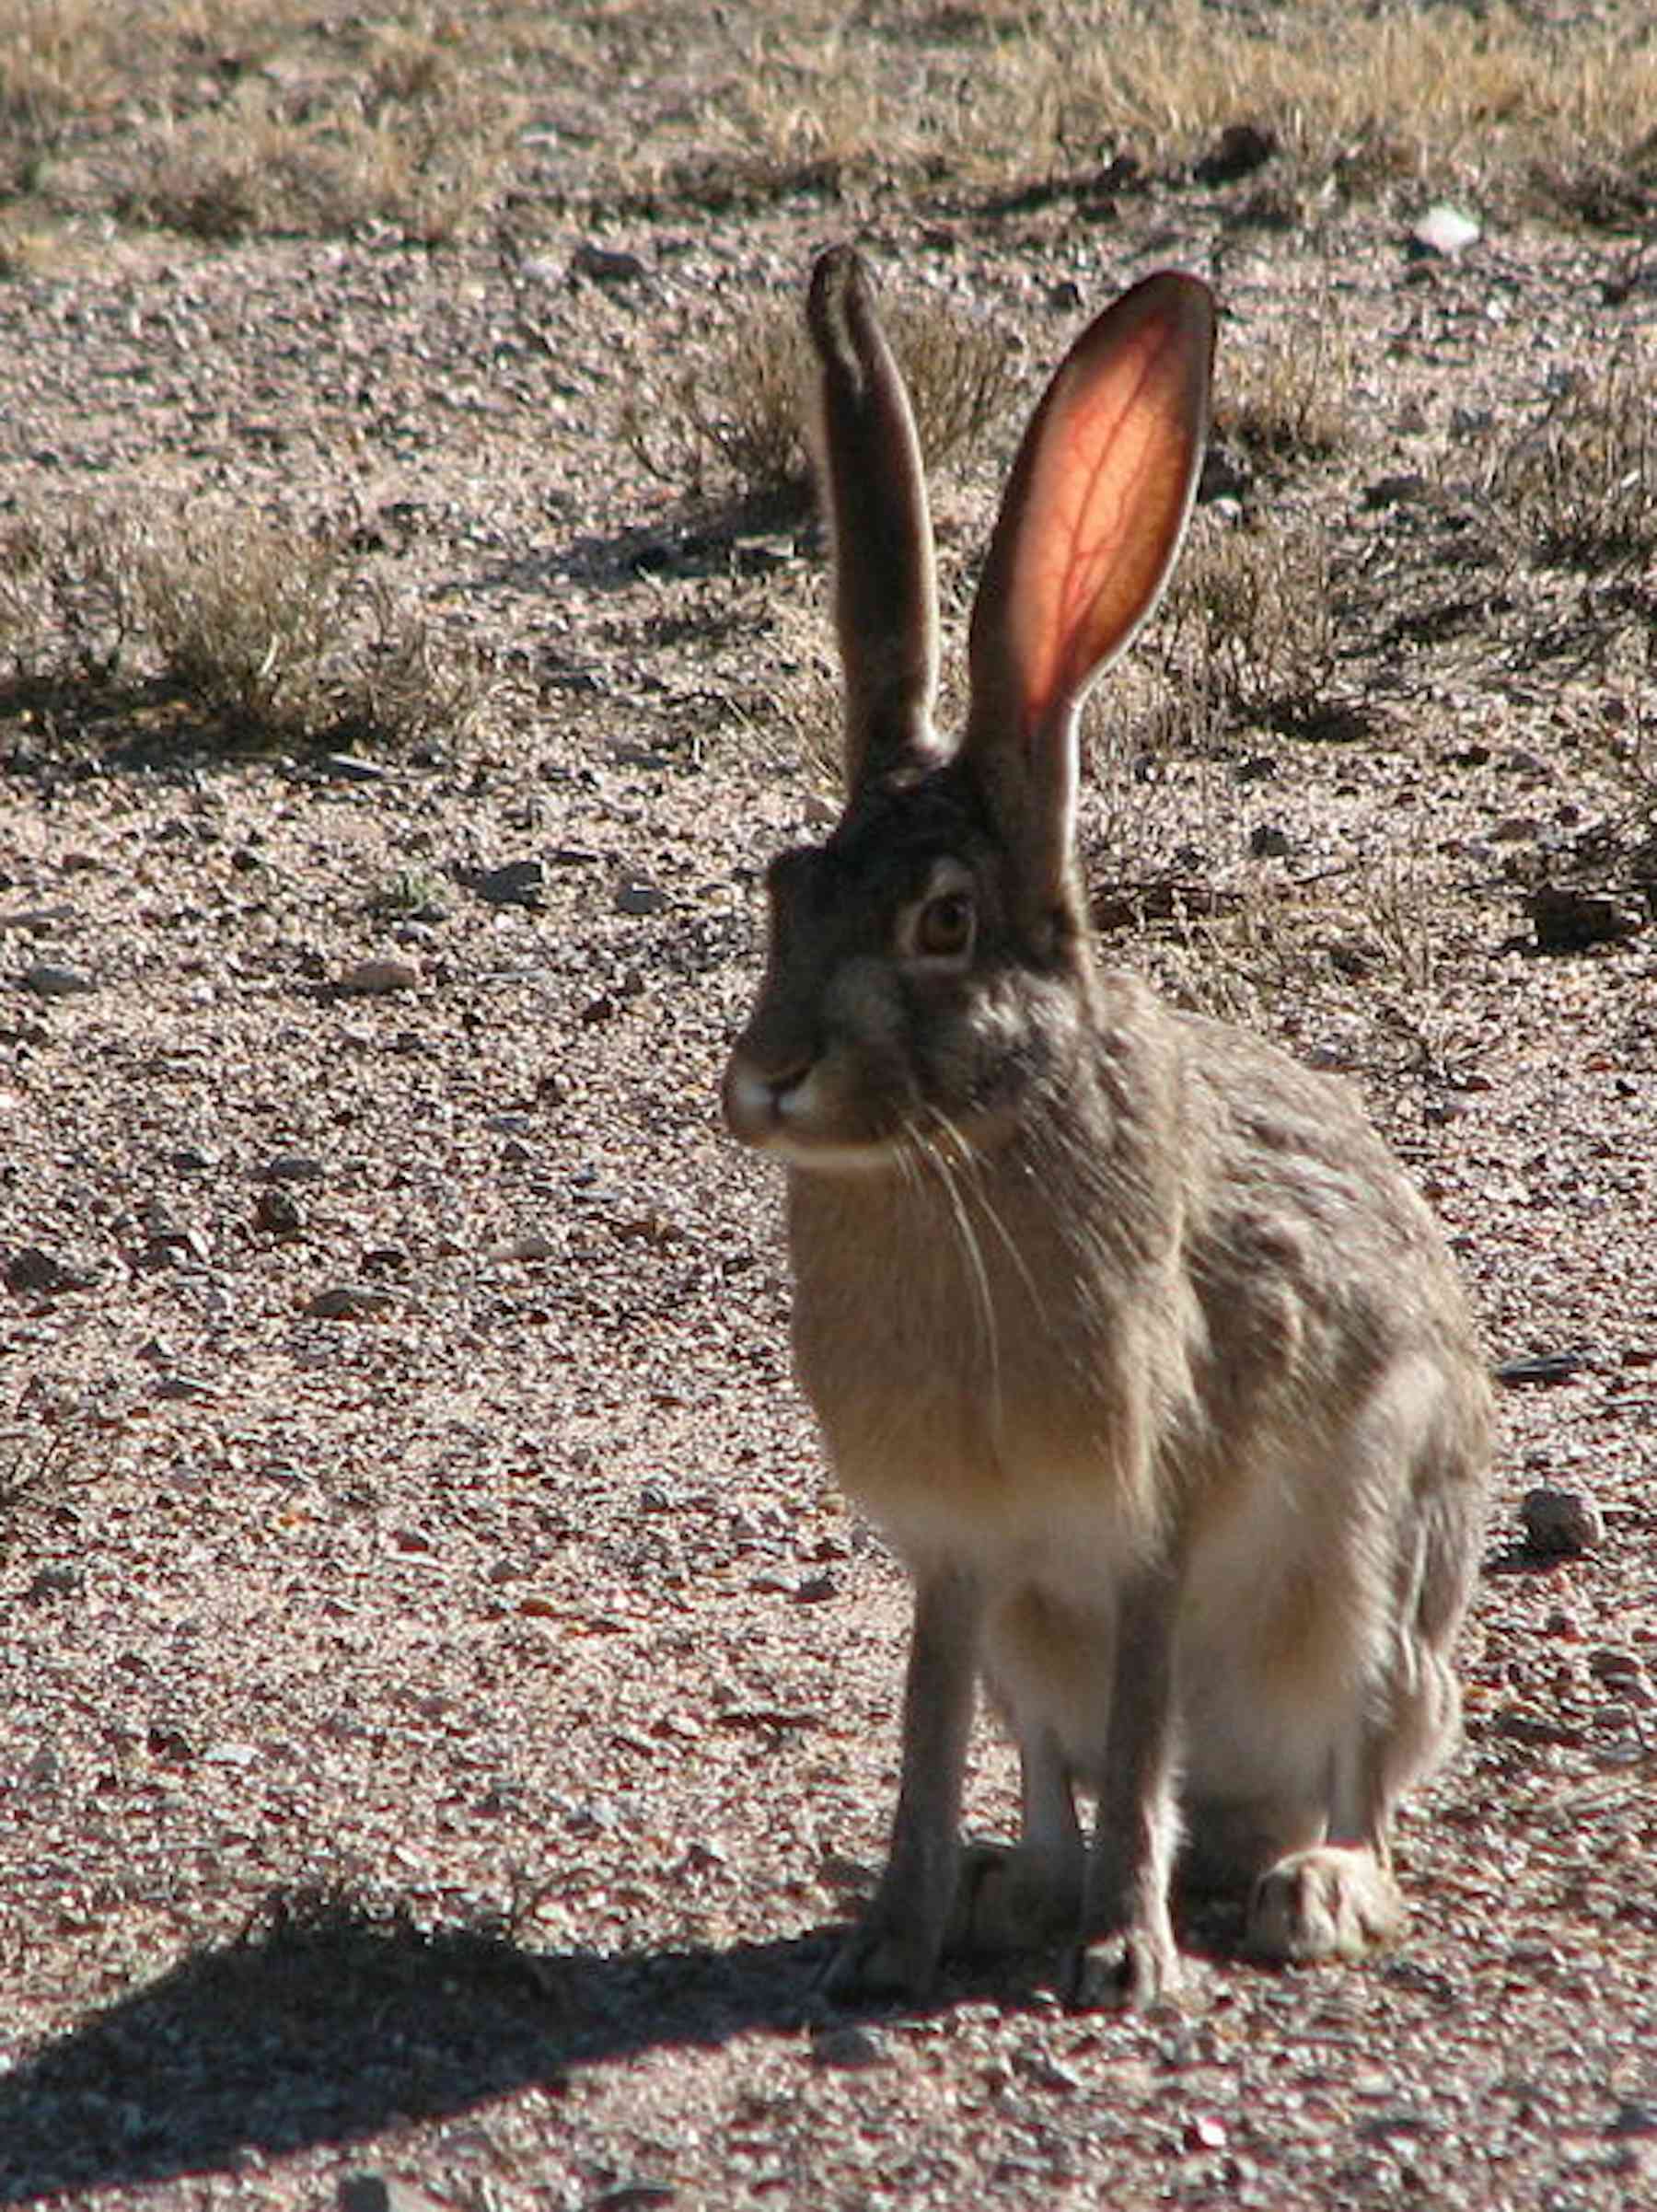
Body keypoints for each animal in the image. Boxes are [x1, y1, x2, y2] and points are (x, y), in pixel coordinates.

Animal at [721, 245, 1493, 2010]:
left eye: (945, 924)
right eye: (785, 891)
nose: (771, 1077)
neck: (963, 1148)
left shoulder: (1155, 1525)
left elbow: (1142, 1737)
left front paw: (1127, 1958)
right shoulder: (964, 1563)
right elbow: (936, 1736)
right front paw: (891, 1935)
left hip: (1382, 1561)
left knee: (1360, 1760)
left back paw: (1309, 1887)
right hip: (1050, 1645)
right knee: (1053, 1770)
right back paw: (1022, 1889)